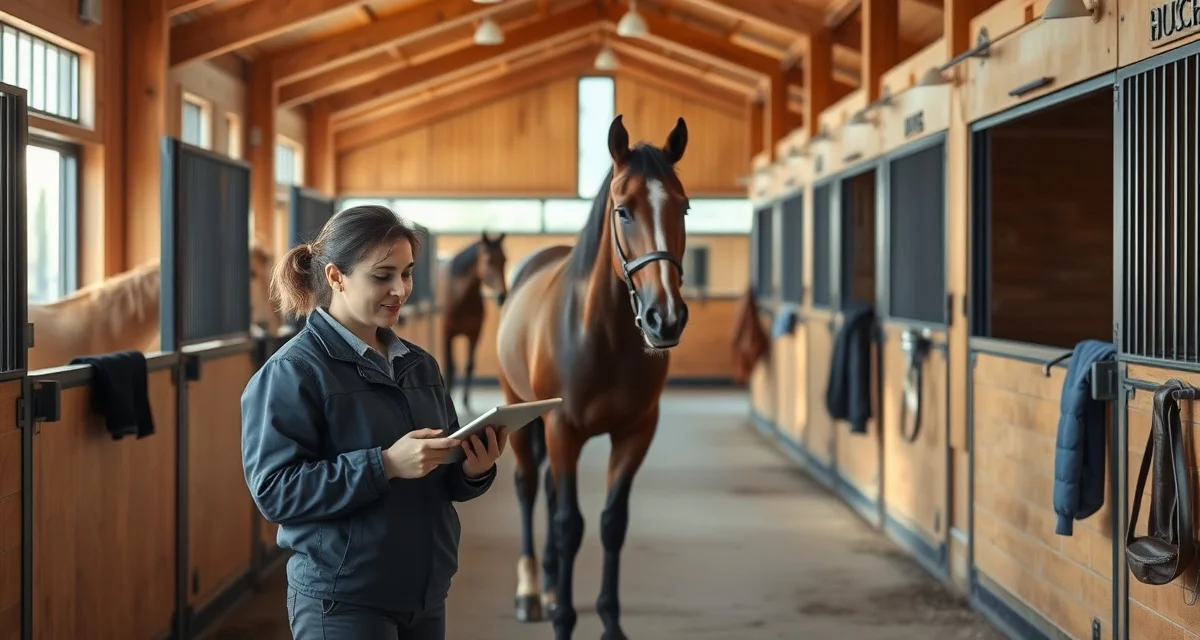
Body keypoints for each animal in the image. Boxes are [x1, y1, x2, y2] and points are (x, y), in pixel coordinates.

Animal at [439, 231, 508, 413]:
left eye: (504, 260)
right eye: (488, 260)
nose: (502, 296)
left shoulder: (474, 333)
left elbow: (469, 365)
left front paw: (465, 401)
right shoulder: (447, 334)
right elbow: (449, 367)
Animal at [495, 114, 691, 640]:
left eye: (684, 207)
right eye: (623, 211)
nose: (665, 318)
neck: (603, 338)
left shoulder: (636, 433)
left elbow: (610, 523)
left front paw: (609, 622)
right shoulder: (563, 429)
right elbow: (569, 525)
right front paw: (564, 619)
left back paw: (546, 586)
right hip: (517, 412)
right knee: (527, 486)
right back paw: (529, 593)